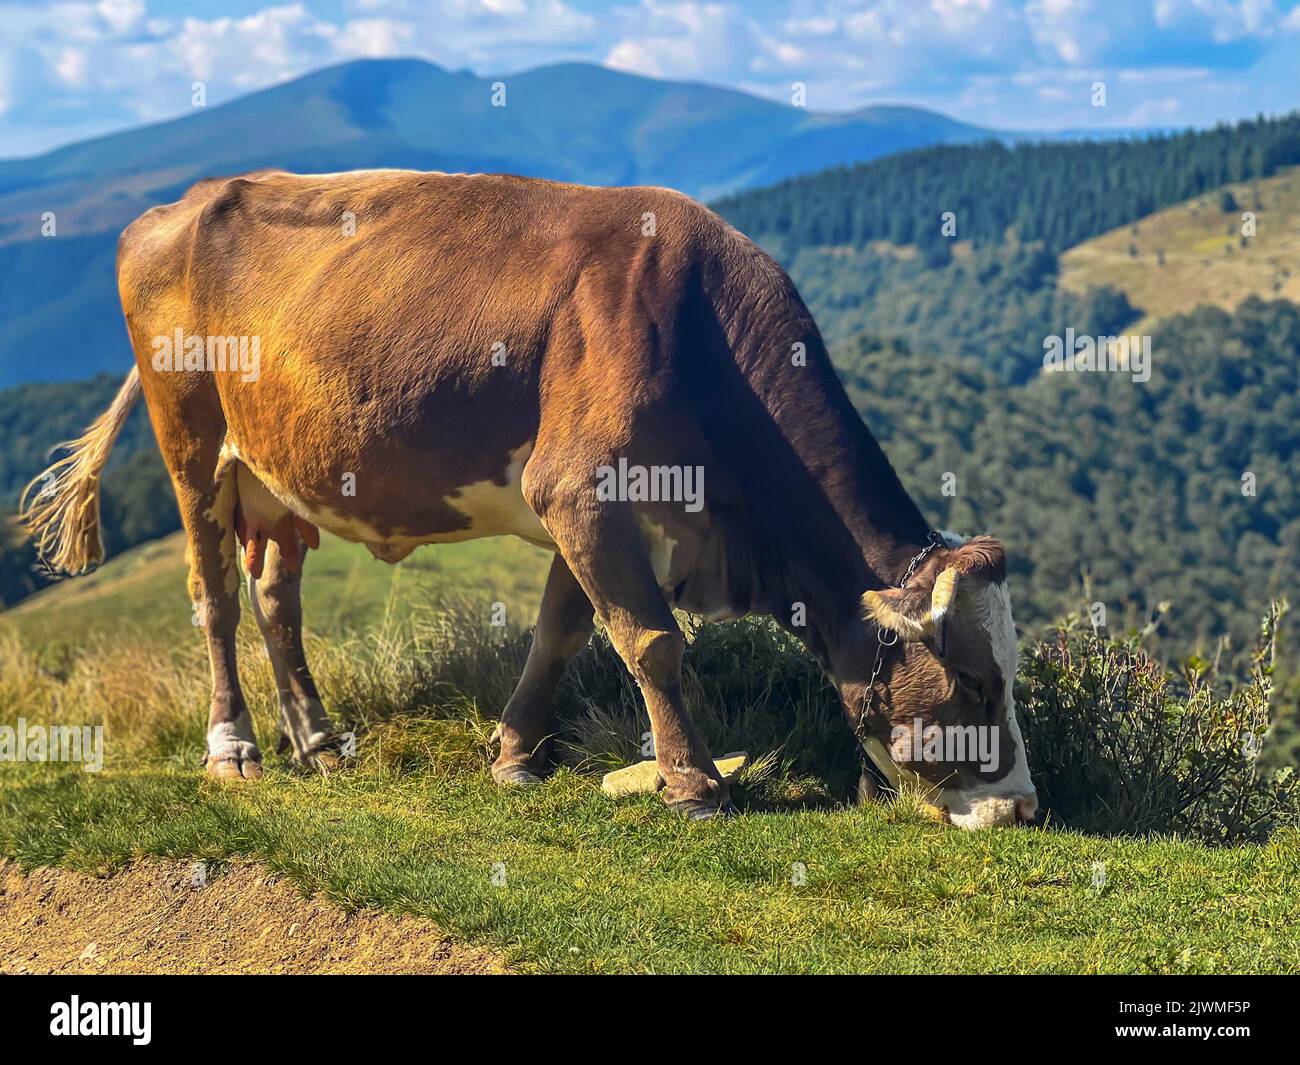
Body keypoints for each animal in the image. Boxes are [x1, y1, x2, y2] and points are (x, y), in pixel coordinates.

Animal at [21, 169, 1037, 828]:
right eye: (975, 684)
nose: (1023, 808)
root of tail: (183, 202)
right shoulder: (582, 488)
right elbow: (653, 641)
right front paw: (694, 785)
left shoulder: (595, 510)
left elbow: (564, 630)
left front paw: (515, 756)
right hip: (189, 437)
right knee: (216, 597)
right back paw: (234, 749)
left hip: (279, 475)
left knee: (276, 596)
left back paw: (318, 741)